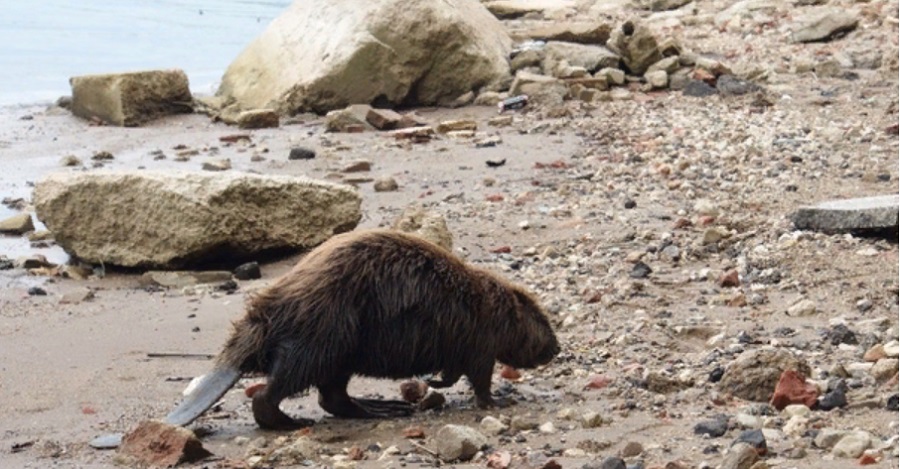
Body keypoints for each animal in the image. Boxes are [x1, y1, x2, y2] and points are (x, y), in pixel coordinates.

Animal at [159, 229, 560, 430]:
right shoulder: (479, 340)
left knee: (332, 396)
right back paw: (294, 422)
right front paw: (499, 401)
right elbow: (479, 377)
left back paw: (381, 409)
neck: (485, 302)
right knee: (276, 393)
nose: (556, 349)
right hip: (321, 339)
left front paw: (434, 380)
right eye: (543, 320)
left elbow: (453, 372)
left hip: (337, 353)